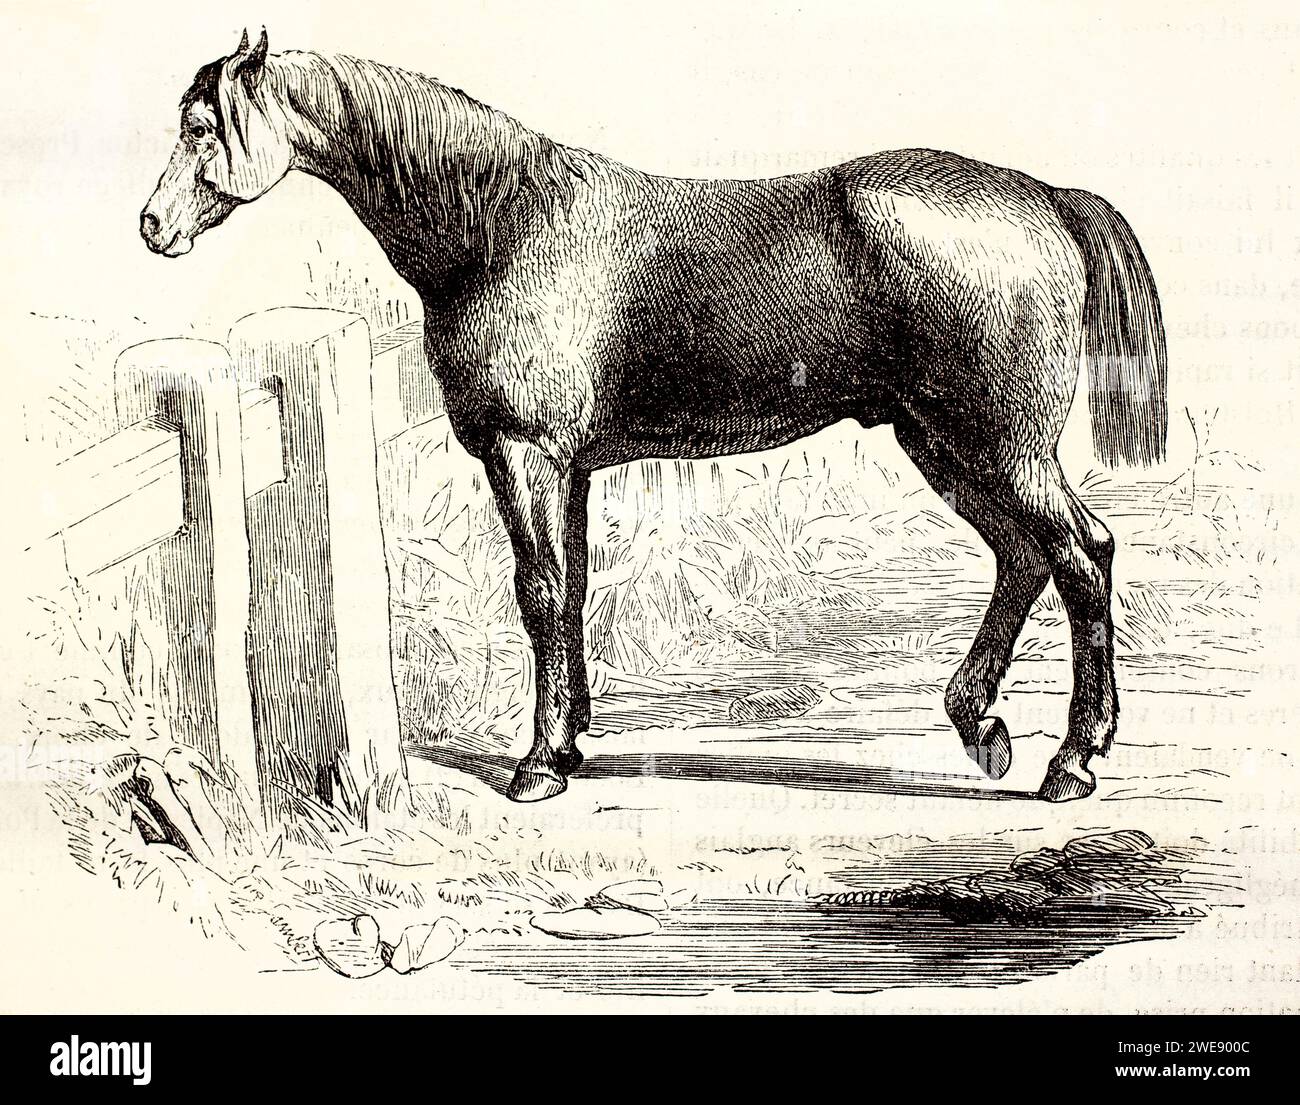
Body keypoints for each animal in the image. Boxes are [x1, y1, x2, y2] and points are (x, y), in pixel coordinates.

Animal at [140, 30, 1167, 805]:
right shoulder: (569, 466)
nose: (153, 227)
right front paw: (568, 742)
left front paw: (537, 765)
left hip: (997, 447)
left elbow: (540, 594)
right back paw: (981, 726)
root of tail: (1044, 199)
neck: (503, 226)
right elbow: (572, 590)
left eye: (202, 126)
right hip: (947, 444)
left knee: (1081, 556)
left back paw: (1073, 759)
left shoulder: (524, 455)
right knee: (1025, 559)